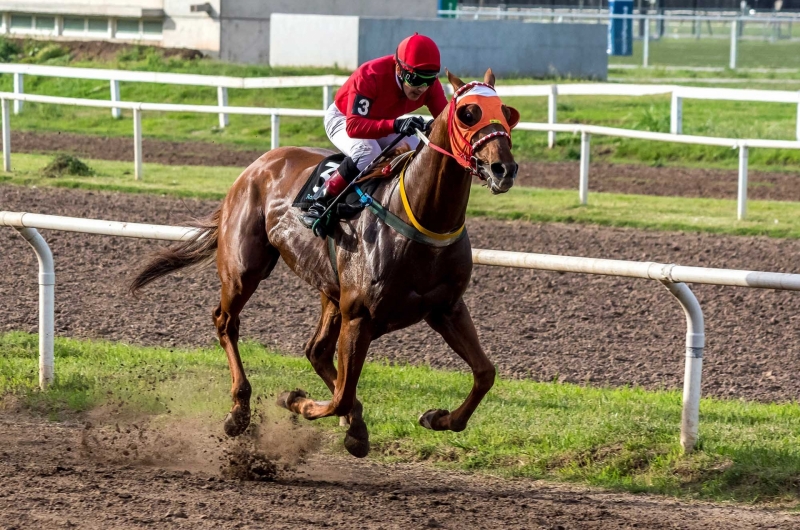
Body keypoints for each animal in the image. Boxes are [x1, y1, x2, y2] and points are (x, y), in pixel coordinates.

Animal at [131, 70, 520, 456]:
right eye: (467, 113)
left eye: (507, 112)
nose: (504, 168)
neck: (421, 218)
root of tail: (258, 164)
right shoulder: (360, 315)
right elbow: (342, 397)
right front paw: (295, 400)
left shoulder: (446, 308)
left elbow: (485, 373)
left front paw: (437, 418)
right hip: (244, 269)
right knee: (226, 322)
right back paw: (240, 411)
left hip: (330, 291)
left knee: (316, 350)